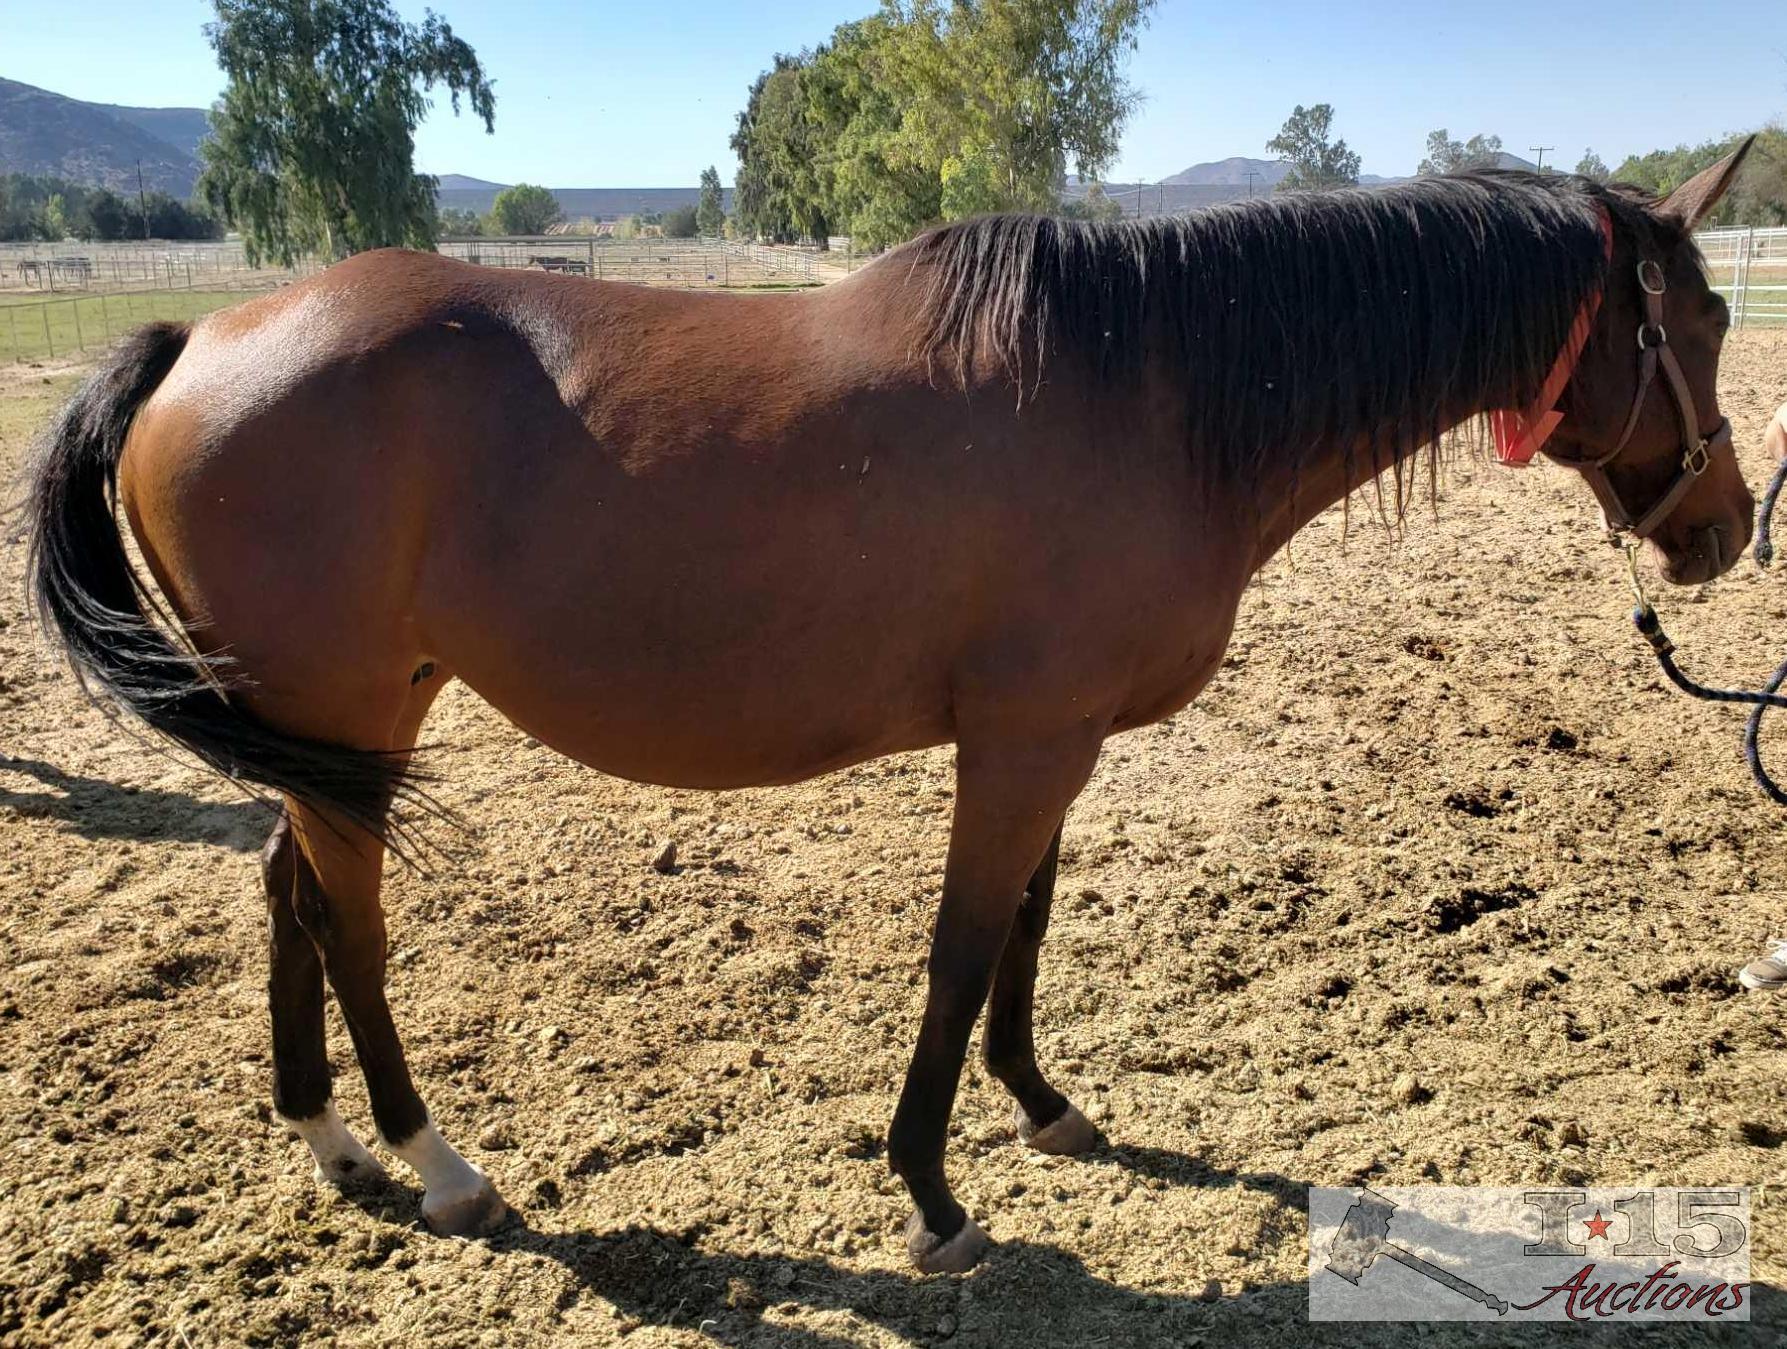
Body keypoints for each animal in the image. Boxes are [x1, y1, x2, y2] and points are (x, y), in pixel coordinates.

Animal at [24, 142, 1758, 1272]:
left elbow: (1027, 929)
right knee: (352, 920)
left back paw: (323, 1134)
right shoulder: (1021, 742)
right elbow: (962, 943)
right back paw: (434, 1160)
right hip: (346, 713)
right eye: (1704, 322)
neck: (1153, 390)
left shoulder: (1055, 740)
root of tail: (201, 335)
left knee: (285, 891)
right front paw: (929, 1193)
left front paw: (1041, 1105)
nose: (1724, 532)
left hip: (324, 721)